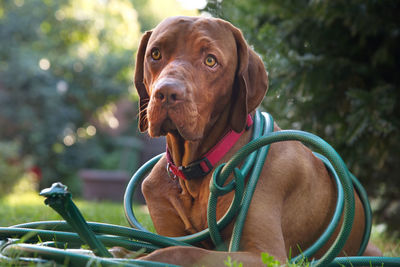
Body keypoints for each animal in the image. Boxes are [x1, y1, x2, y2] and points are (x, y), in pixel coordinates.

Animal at [132, 16, 382, 266]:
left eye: (210, 60)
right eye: (156, 54)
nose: (166, 93)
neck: (194, 172)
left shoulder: (264, 253)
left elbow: (184, 252)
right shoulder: (167, 233)